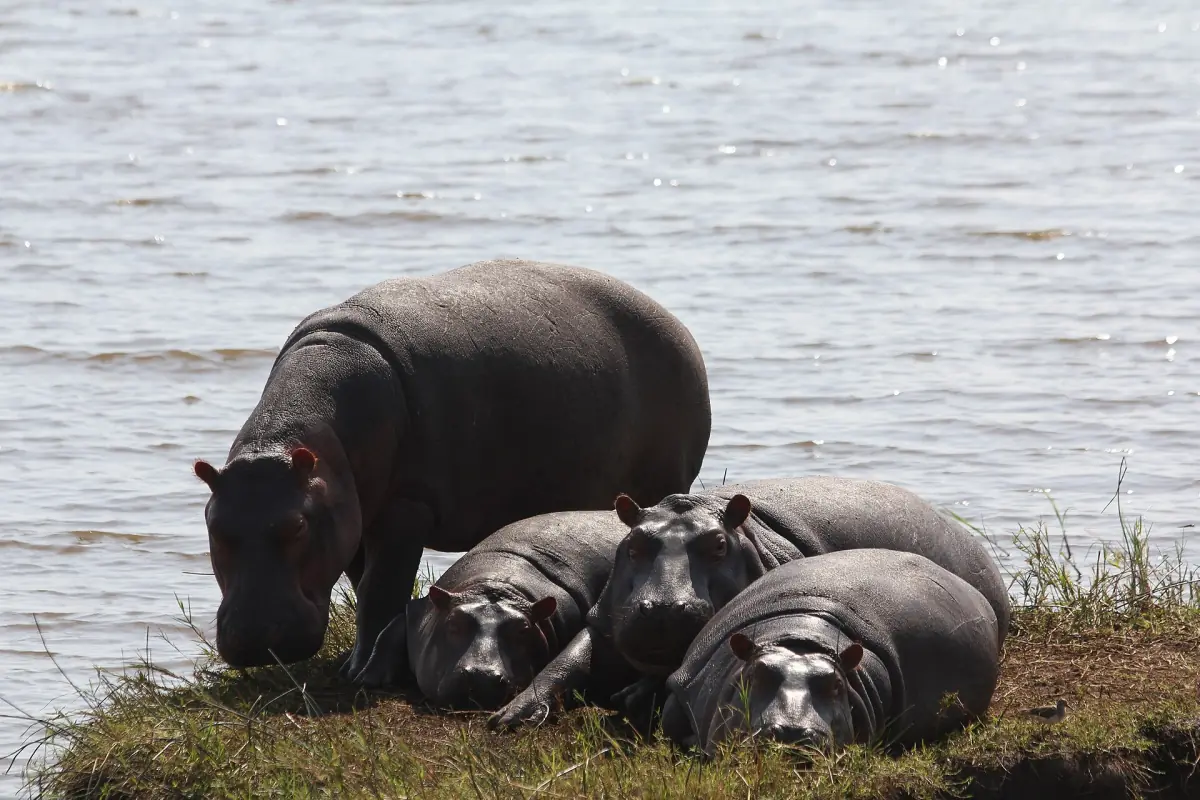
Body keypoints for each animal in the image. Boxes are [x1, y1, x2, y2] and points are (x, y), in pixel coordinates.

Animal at [191, 259, 711, 676]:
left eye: (296, 525)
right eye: (212, 524)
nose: (255, 639)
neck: (303, 439)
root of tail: (679, 326)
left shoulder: (404, 507)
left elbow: (380, 589)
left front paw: (359, 673)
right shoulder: (350, 514)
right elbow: (362, 584)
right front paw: (353, 662)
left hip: (666, 476)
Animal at [355, 510, 629, 709]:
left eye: (523, 629)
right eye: (453, 622)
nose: (481, 676)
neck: (495, 585)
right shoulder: (420, 610)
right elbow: (391, 628)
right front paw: (366, 678)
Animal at [492, 477, 1007, 729]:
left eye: (719, 544)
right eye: (634, 543)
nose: (663, 607)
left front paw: (632, 697)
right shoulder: (604, 621)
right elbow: (568, 659)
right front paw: (511, 715)